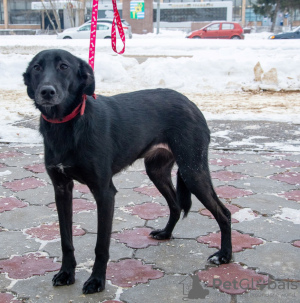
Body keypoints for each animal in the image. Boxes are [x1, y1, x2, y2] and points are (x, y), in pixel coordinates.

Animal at [23, 50, 232, 294]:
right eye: (37, 68)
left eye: (64, 66)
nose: (47, 91)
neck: (66, 124)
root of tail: (190, 103)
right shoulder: (61, 189)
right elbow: (66, 240)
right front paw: (66, 273)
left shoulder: (104, 192)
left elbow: (101, 245)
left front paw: (97, 280)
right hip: (157, 171)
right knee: (176, 205)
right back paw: (166, 233)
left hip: (193, 171)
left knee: (224, 213)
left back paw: (224, 255)